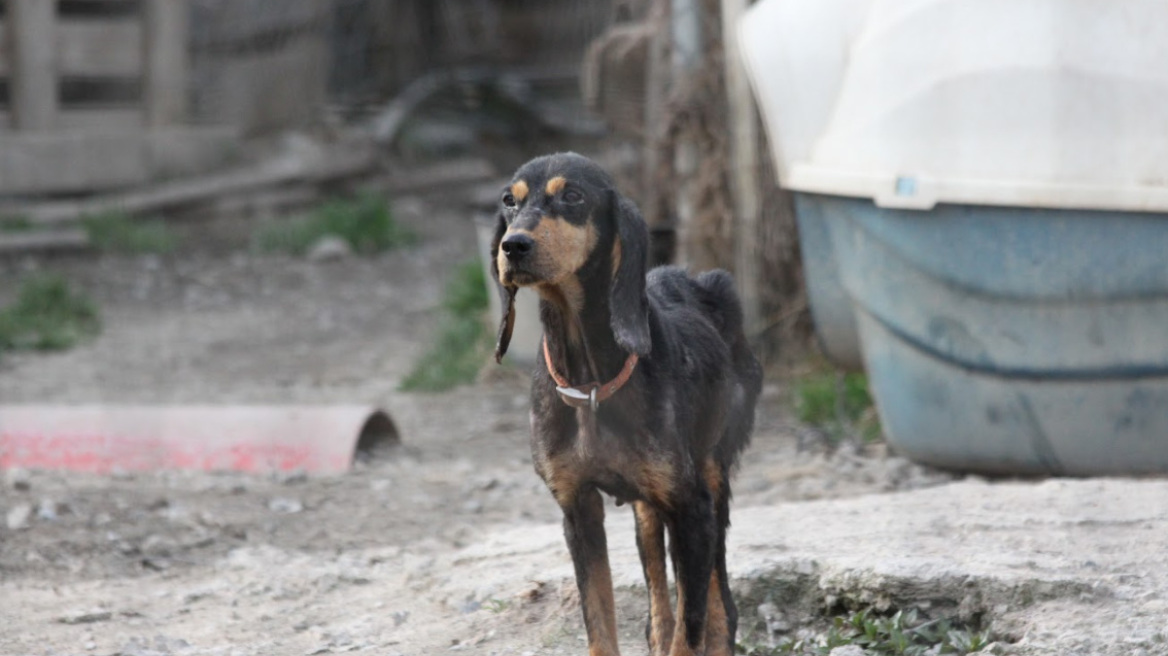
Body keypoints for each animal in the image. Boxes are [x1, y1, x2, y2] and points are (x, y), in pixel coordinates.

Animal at [488, 152, 761, 653]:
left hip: (712, 477)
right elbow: (599, 621)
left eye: (573, 196)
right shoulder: (577, 509)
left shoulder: (693, 511)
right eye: (508, 202)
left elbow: (689, 630)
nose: (512, 246)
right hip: (648, 507)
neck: (589, 380)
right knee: (659, 610)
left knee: (719, 611)